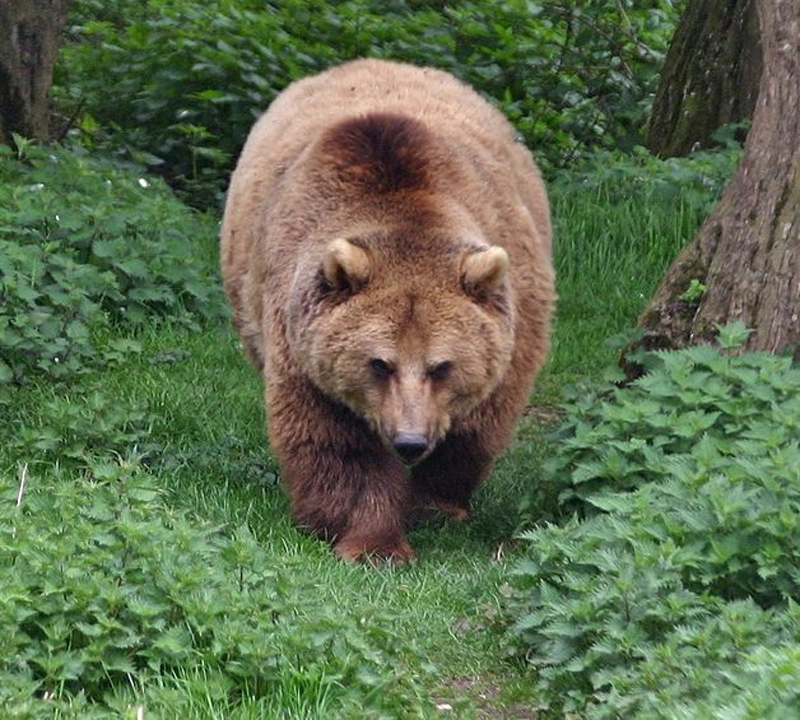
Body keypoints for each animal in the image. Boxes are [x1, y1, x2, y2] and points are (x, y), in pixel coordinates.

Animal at [221, 59, 555, 564]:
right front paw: (373, 543)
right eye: (380, 363)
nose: (409, 442)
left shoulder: (515, 307)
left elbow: (479, 423)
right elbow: (338, 441)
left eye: (442, 366)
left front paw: (435, 504)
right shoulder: (300, 333)